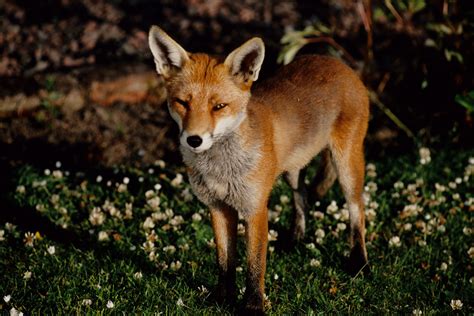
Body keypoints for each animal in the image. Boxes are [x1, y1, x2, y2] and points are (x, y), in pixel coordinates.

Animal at [148, 25, 370, 312]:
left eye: (219, 106)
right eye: (182, 103)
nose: (194, 140)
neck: (221, 169)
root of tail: (337, 63)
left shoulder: (255, 208)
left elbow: (255, 266)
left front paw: (253, 306)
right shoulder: (218, 207)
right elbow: (225, 262)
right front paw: (223, 299)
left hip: (346, 166)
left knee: (357, 210)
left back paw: (360, 263)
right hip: (293, 170)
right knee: (302, 197)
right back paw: (295, 239)